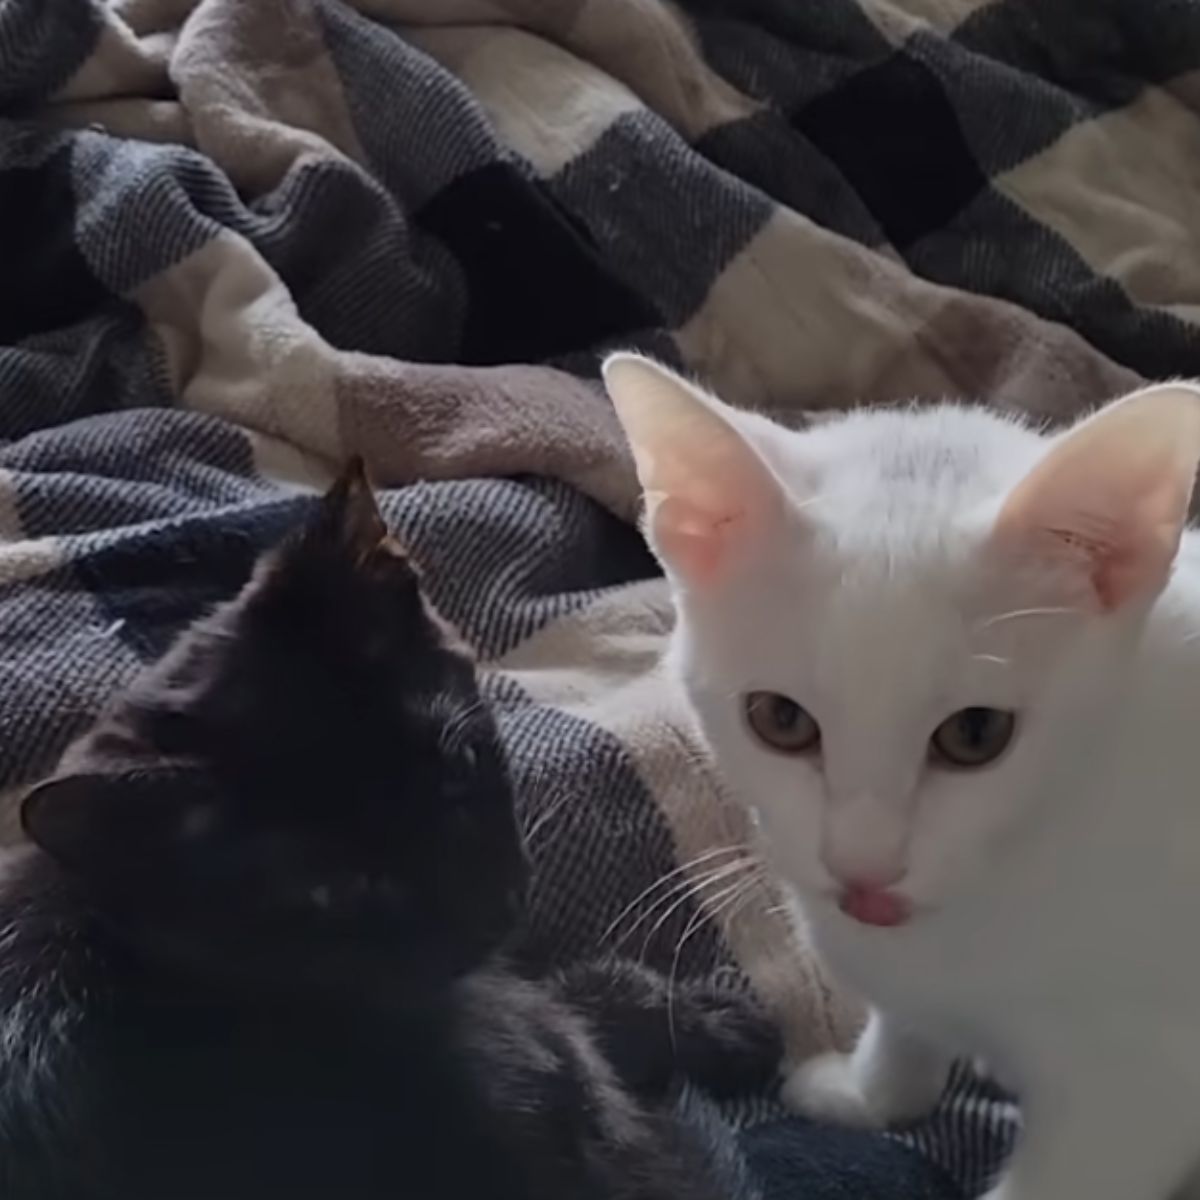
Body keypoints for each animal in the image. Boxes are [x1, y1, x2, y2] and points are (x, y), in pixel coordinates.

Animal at [604, 352, 1200, 1200]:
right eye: (779, 720)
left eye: (975, 735)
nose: (864, 867)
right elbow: (903, 1027)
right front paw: (870, 1092)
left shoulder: (1146, 1090)